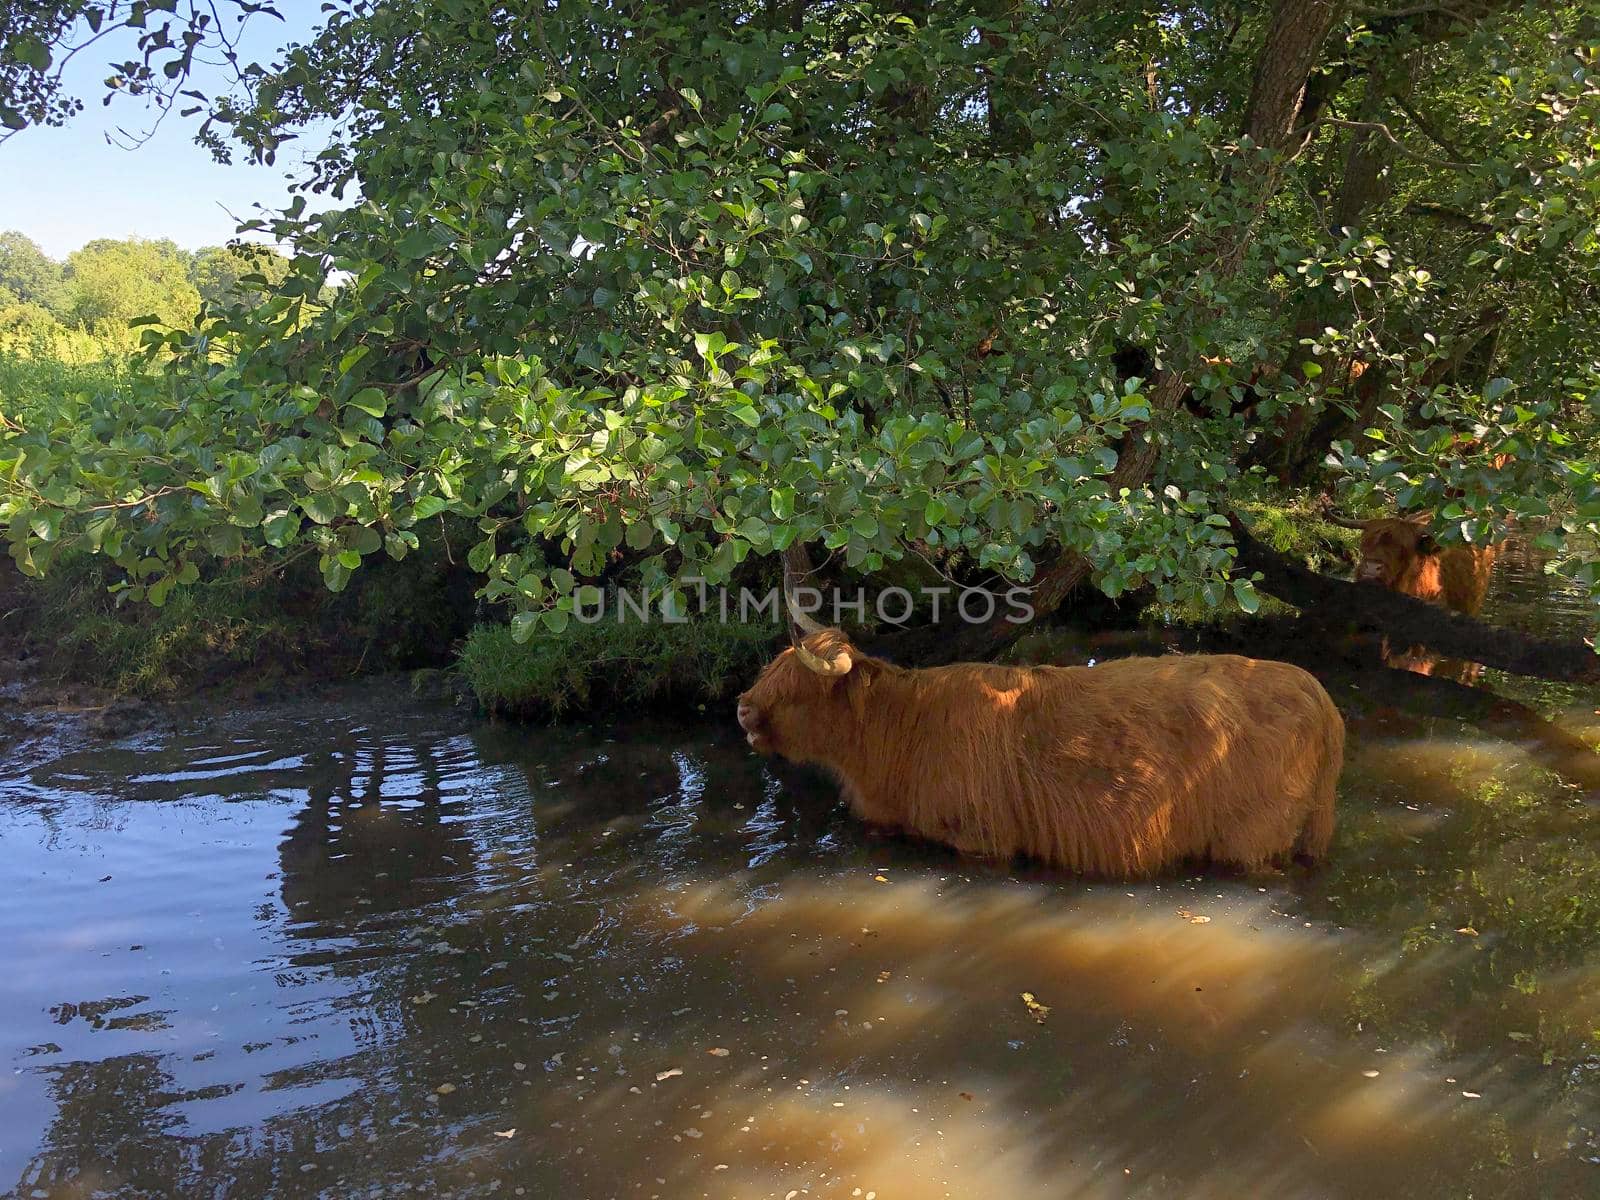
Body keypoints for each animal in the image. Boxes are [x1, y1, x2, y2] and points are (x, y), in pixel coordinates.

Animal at [732, 630, 1337, 876]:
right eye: (770, 667)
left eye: (795, 688)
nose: (740, 708)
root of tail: (1315, 691)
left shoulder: (981, 839)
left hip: (1251, 838)